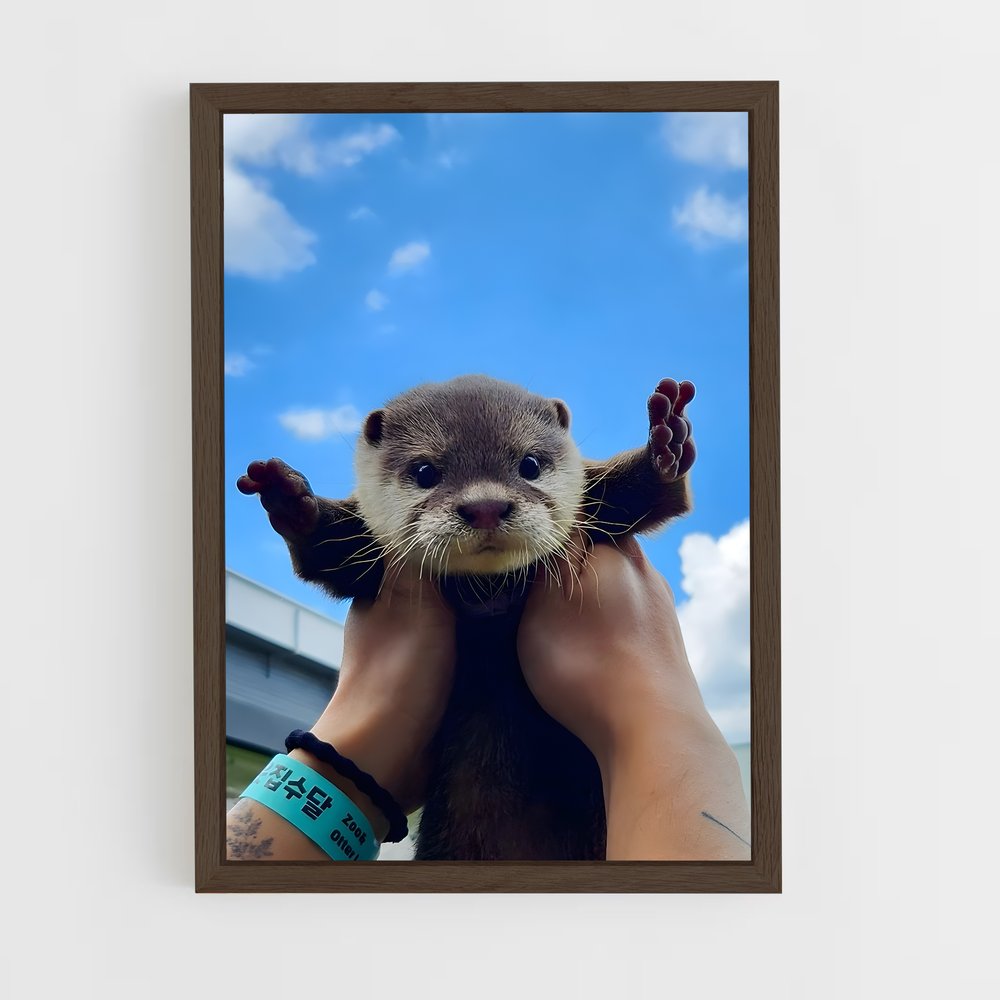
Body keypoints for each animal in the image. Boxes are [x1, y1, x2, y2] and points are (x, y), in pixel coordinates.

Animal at [237, 374, 696, 860]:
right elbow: (329, 556)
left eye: (530, 464)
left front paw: (665, 443)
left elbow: (649, 497)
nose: (486, 506)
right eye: (425, 472)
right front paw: (291, 500)